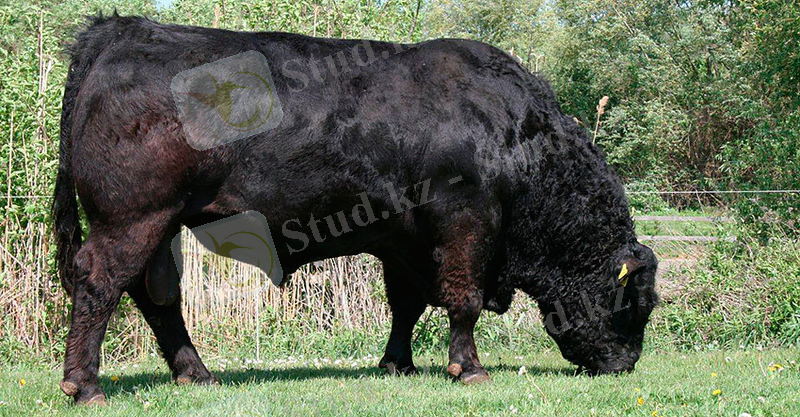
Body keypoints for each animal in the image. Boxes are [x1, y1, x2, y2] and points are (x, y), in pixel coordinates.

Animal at [53, 14, 658, 404]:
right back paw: (85, 386)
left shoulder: (404, 242)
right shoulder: (467, 222)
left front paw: (398, 364)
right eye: (636, 301)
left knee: (157, 295)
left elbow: (407, 305)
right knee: (100, 280)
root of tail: (121, 31)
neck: (516, 133)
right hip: (133, 219)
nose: (625, 365)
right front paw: (469, 369)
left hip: (160, 225)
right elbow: (461, 299)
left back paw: (197, 375)